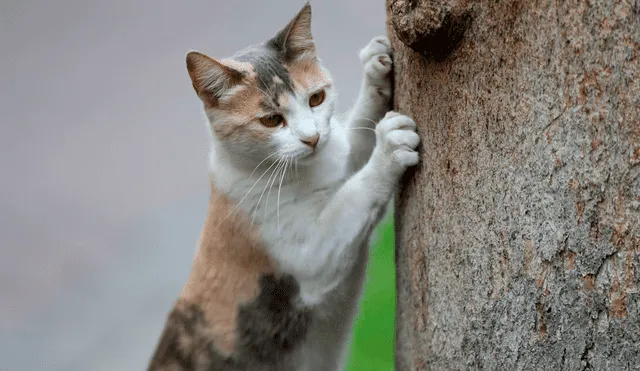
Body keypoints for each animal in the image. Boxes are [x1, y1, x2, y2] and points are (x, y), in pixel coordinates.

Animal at [148, 2, 422, 371]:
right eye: (271, 120)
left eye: (317, 98)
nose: (312, 138)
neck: (304, 172)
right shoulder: (313, 253)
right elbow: (356, 194)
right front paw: (390, 146)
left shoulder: (341, 159)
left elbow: (358, 135)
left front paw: (375, 68)